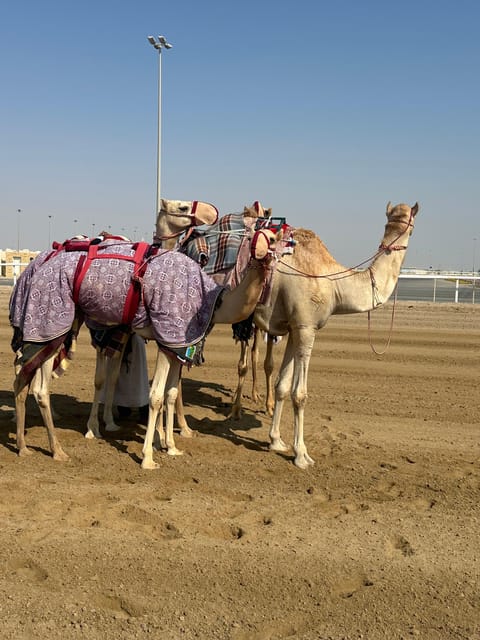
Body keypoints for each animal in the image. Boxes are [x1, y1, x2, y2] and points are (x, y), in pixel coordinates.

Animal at [11, 224, 277, 467]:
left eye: (274, 238)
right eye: (257, 238)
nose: (267, 252)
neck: (213, 302)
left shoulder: (178, 345)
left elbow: (171, 393)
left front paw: (172, 447)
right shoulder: (168, 336)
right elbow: (156, 395)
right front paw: (148, 457)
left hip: (59, 325)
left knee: (30, 380)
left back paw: (36, 447)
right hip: (49, 317)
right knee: (31, 381)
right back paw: (48, 448)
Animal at [250, 201, 419, 468]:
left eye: (407, 225)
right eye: (391, 224)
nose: (393, 243)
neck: (335, 283)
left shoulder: (295, 327)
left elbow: (283, 387)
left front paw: (276, 441)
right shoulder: (307, 327)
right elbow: (300, 394)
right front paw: (301, 455)